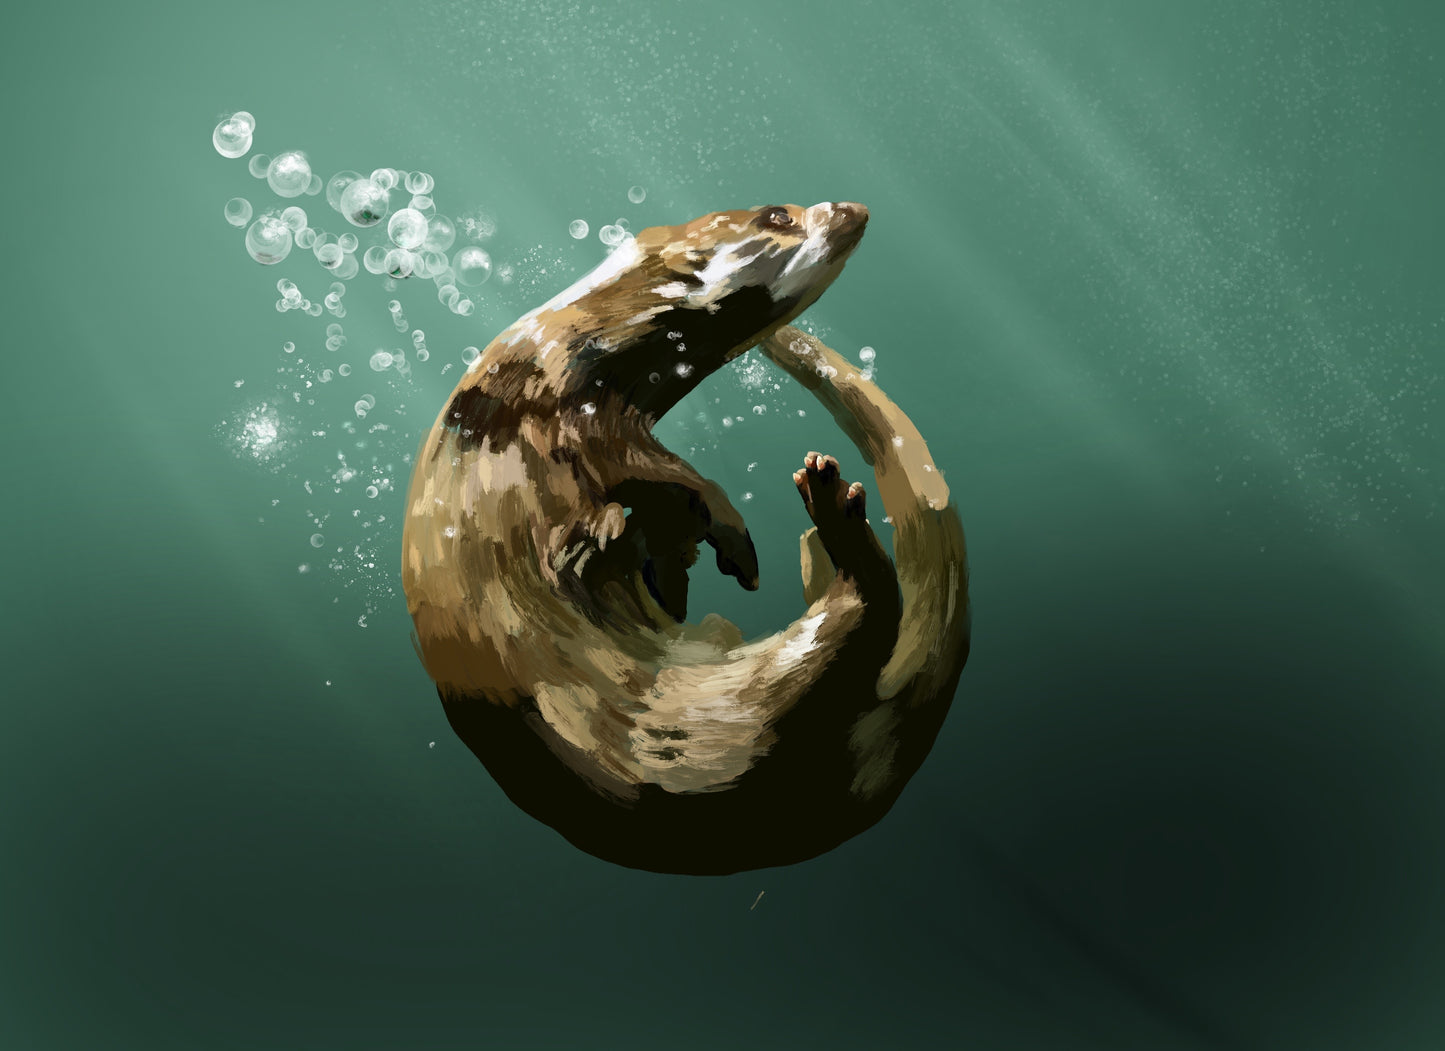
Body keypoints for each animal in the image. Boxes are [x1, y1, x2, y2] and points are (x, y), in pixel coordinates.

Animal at [401, 202, 970, 875]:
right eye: (778, 215)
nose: (851, 210)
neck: (568, 347)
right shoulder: (583, 422)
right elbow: (669, 481)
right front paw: (719, 544)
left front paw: (671, 565)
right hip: (741, 731)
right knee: (861, 611)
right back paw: (830, 509)